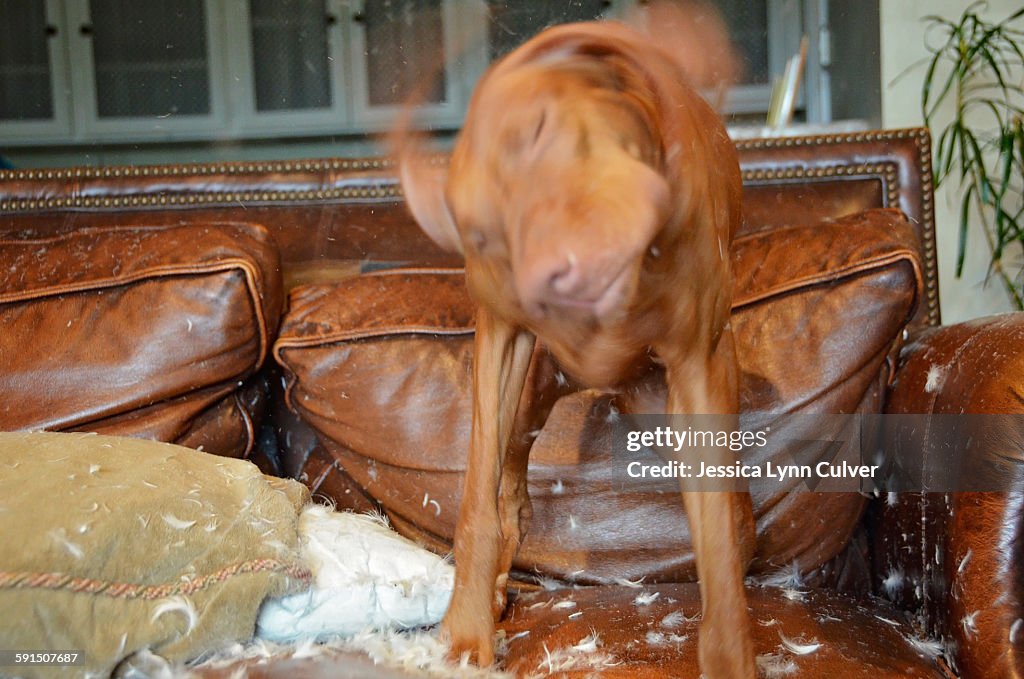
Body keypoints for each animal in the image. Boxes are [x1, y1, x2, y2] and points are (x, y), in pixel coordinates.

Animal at [399, 15, 761, 679]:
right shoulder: (501, 336)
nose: (552, 283)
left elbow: (719, 545)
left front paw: (730, 659)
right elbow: (476, 500)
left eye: (540, 132)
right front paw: (466, 630)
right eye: (481, 236)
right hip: (538, 386)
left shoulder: (699, 364)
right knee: (509, 475)